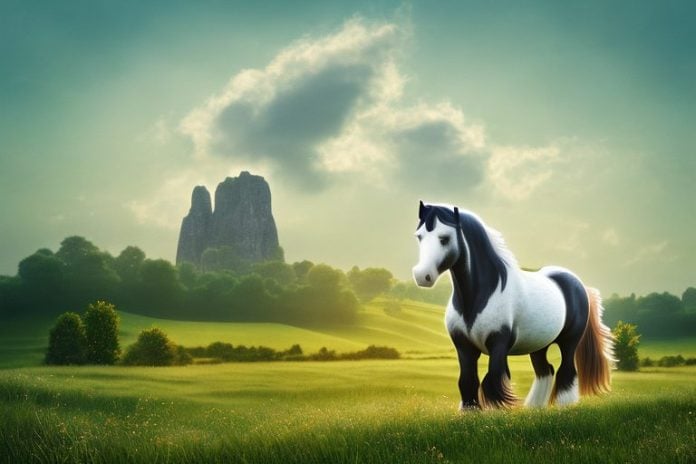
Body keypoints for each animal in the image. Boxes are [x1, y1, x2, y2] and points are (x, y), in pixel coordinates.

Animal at [412, 201, 614, 409]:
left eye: (444, 238)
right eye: (419, 236)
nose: (422, 276)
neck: (478, 297)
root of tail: (578, 283)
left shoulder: (498, 344)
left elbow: (493, 378)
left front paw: (498, 409)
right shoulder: (464, 347)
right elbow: (468, 380)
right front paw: (470, 410)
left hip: (569, 341)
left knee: (567, 370)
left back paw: (564, 404)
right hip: (538, 344)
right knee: (545, 370)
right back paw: (534, 406)